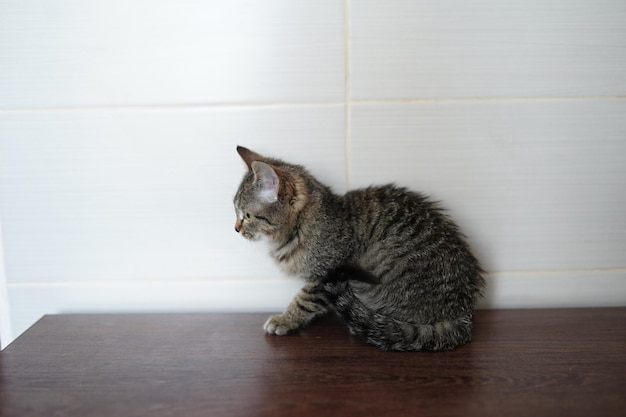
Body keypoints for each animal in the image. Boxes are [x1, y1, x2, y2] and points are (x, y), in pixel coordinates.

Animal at [233, 146, 482, 352]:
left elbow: (304, 300)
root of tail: (462, 314)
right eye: (236, 212)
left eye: (247, 216)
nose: (236, 229)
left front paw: (286, 319)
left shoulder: (325, 274)